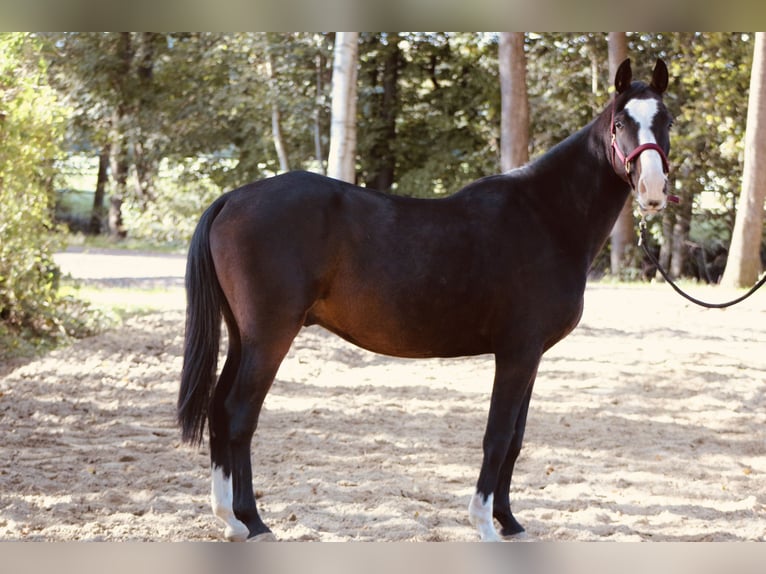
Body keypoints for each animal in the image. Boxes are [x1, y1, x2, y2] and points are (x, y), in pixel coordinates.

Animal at [178, 59, 672, 544]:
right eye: (621, 122)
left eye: (666, 120)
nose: (653, 190)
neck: (545, 216)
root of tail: (232, 198)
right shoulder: (517, 353)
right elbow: (497, 437)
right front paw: (483, 524)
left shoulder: (531, 356)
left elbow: (515, 439)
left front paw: (509, 522)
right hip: (269, 337)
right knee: (239, 415)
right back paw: (250, 522)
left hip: (243, 337)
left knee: (221, 411)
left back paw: (236, 520)